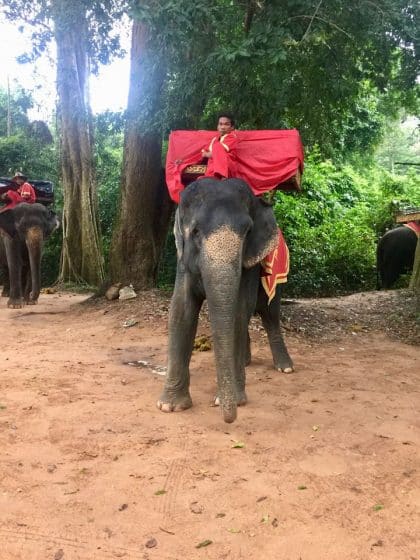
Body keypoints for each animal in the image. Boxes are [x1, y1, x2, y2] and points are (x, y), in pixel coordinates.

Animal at [157, 179, 292, 424]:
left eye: (248, 231)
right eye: (195, 231)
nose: (229, 419)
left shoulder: (248, 264)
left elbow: (239, 310)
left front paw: (233, 400)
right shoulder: (183, 262)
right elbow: (181, 310)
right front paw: (170, 406)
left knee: (269, 313)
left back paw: (285, 368)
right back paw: (248, 361)